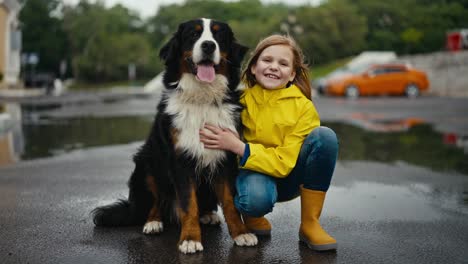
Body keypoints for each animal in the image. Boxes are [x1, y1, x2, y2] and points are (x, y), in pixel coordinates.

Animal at [90, 18, 256, 254]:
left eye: (218, 36)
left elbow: (230, 202)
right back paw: (153, 222)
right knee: (155, 202)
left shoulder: (225, 157)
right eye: (193, 35)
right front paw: (190, 239)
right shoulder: (180, 160)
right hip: (147, 163)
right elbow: (188, 203)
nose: (208, 46)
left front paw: (241, 233)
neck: (202, 99)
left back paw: (208, 215)